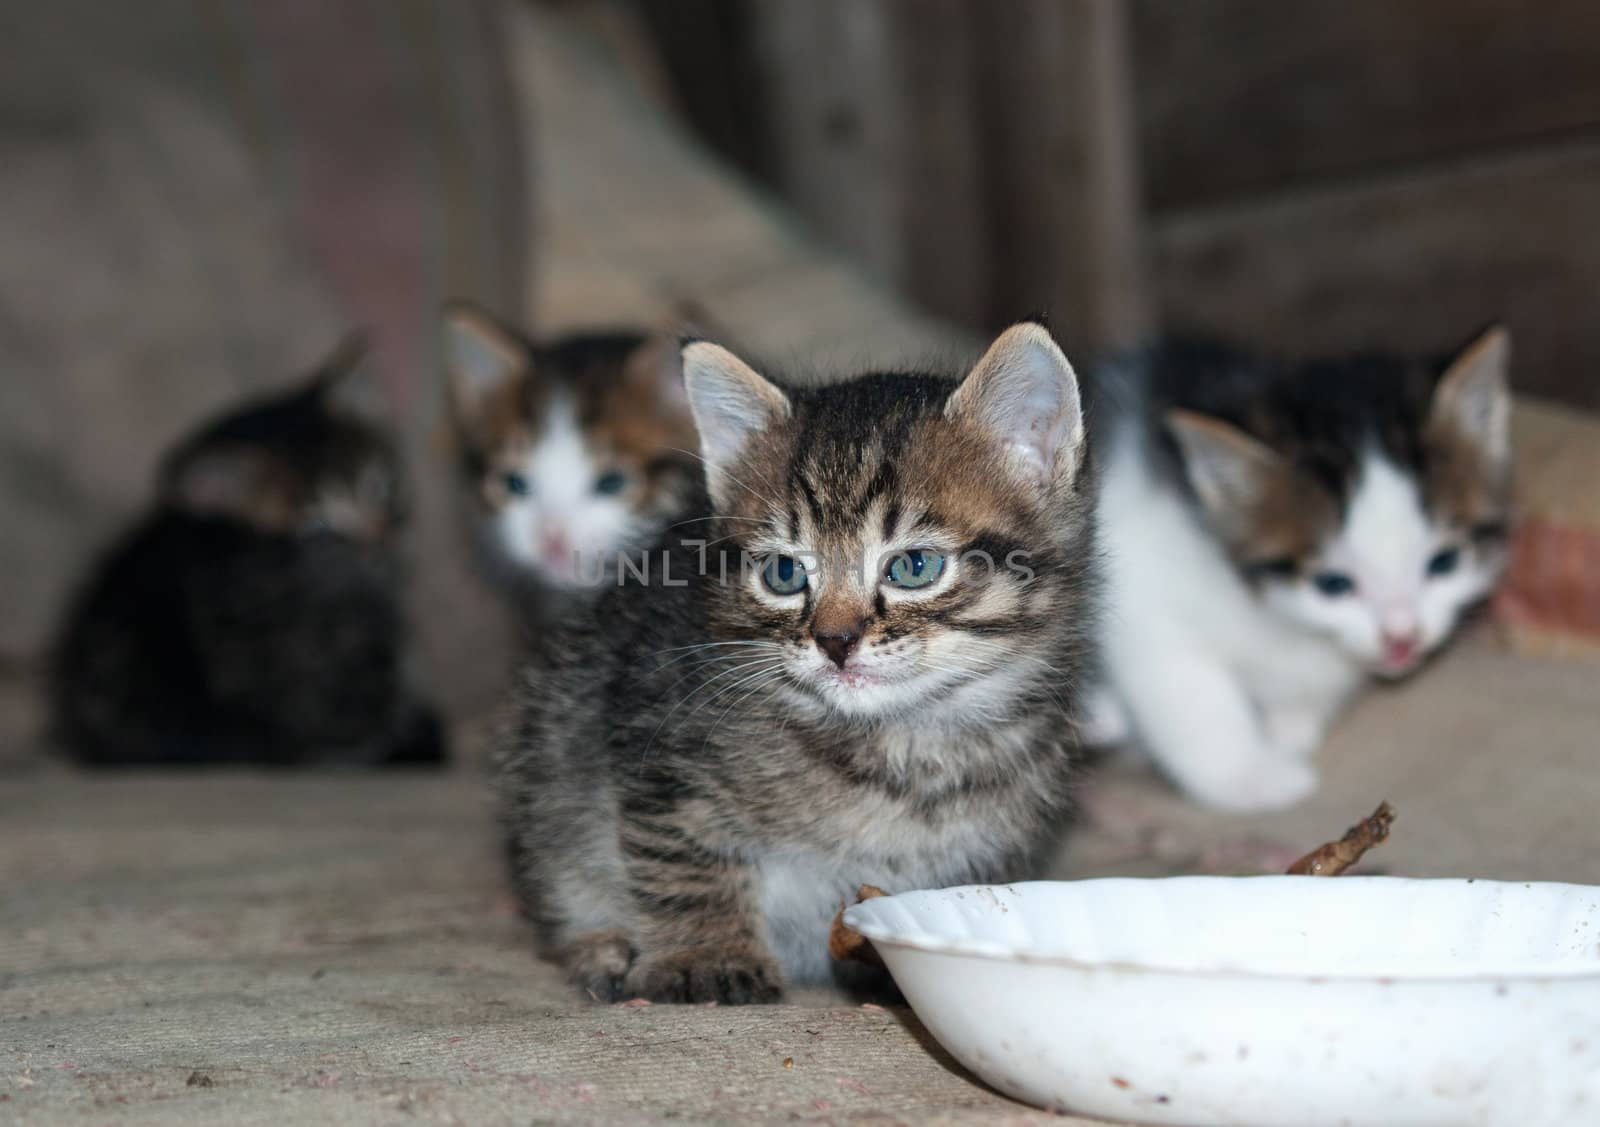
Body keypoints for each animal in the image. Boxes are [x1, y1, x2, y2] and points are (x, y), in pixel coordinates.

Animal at [499, 323, 1100, 1005]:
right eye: (784, 574)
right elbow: (684, 861)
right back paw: (601, 947)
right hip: (552, 746)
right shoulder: (660, 751)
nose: (834, 640)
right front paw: (706, 954)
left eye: (914, 567)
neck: (904, 743)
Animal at [1088, 326, 1510, 810]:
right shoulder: (1141, 595)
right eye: (1333, 584)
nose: (1402, 638)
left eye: (1444, 562)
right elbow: (1189, 699)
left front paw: (1291, 728)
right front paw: (1253, 777)